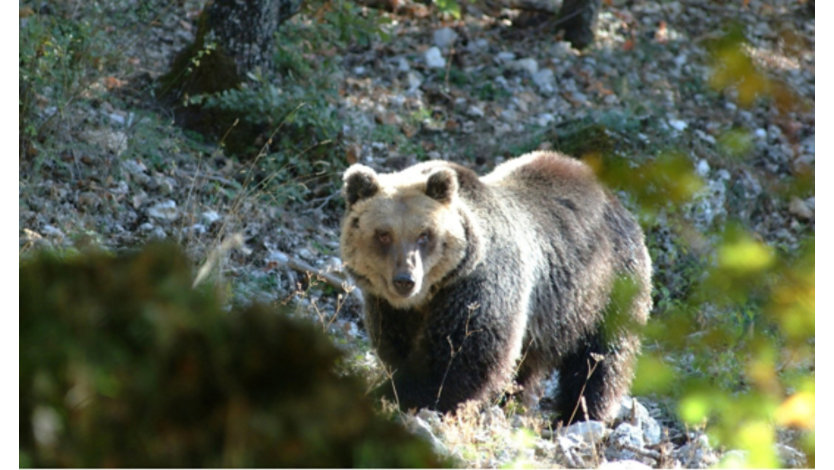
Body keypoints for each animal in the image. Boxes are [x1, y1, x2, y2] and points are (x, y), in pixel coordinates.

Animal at [338, 151, 648, 422]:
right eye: (383, 234)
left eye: (424, 235)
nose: (405, 279)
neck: (430, 295)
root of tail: (615, 200)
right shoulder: (388, 307)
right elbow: (396, 348)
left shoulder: (479, 285)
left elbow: (461, 356)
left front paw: (402, 396)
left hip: (608, 287)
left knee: (601, 359)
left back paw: (579, 413)